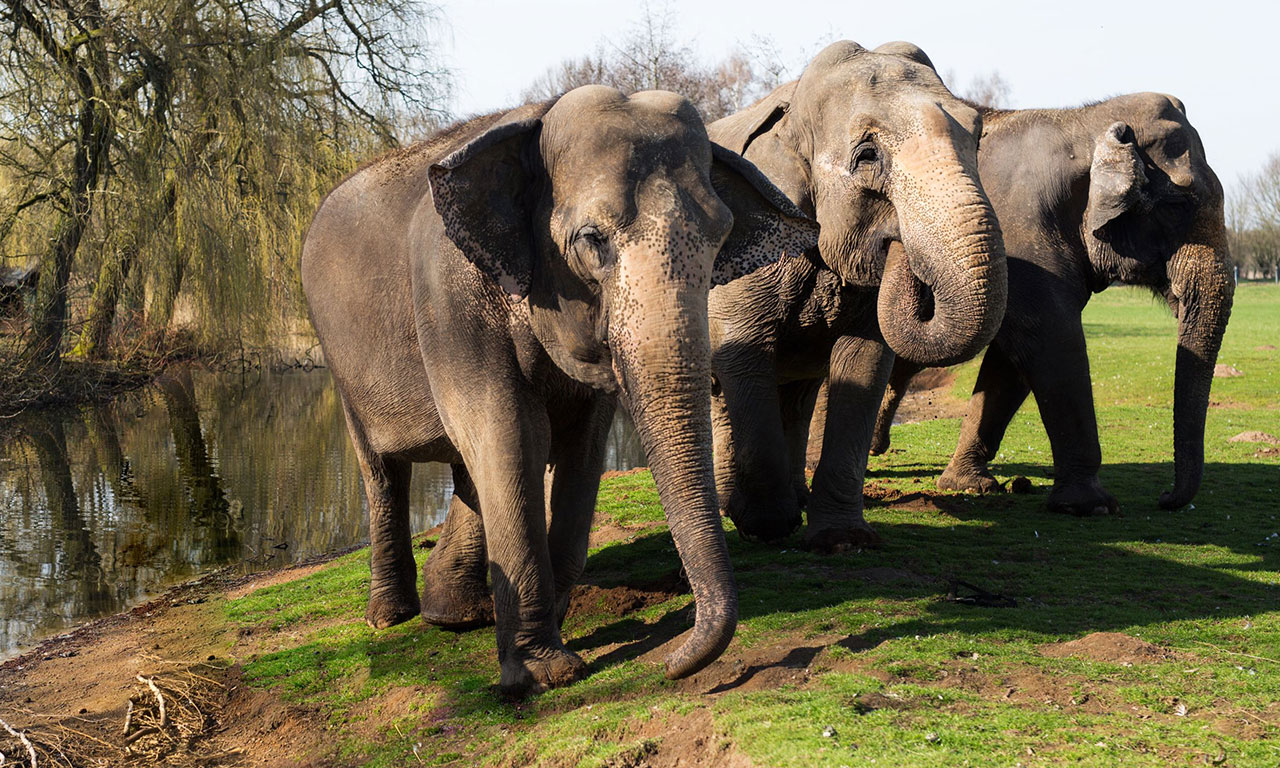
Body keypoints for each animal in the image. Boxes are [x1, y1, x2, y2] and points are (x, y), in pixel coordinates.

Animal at [302, 85, 819, 696]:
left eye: (720, 239)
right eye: (592, 240)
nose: (674, 664)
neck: (539, 117)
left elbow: (583, 445)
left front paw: (554, 625)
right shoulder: (449, 299)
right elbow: (511, 431)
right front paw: (545, 674)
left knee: (467, 466)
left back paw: (457, 614)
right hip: (338, 359)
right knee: (383, 471)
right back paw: (390, 616)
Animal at [706, 40, 1003, 552]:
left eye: (978, 137)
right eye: (867, 155)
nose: (896, 240)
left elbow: (865, 361)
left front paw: (841, 540)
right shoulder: (745, 253)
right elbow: (744, 352)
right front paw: (765, 526)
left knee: (796, 396)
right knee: (723, 393)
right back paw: (737, 507)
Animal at [865, 91, 1233, 517]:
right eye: (1177, 206)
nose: (1164, 499)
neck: (1082, 123)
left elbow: (1009, 362)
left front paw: (970, 484)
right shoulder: (1019, 234)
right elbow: (1052, 340)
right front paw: (1092, 506)